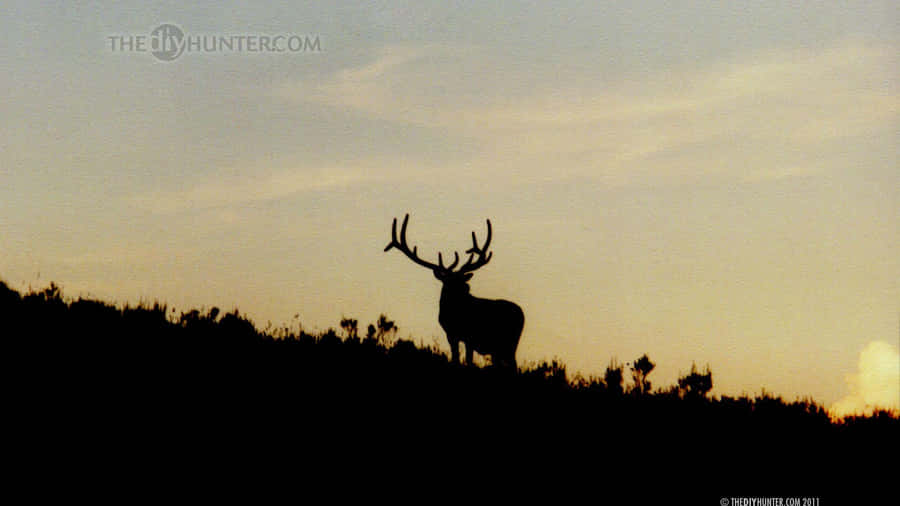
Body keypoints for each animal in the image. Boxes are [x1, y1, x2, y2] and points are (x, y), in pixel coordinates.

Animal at [385, 214, 524, 370]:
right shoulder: (451, 334)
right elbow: (455, 357)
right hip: (501, 347)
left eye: (462, 281)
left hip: (509, 342)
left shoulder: (470, 335)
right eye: (450, 282)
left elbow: (468, 360)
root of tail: (522, 314)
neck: (452, 313)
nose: (467, 288)